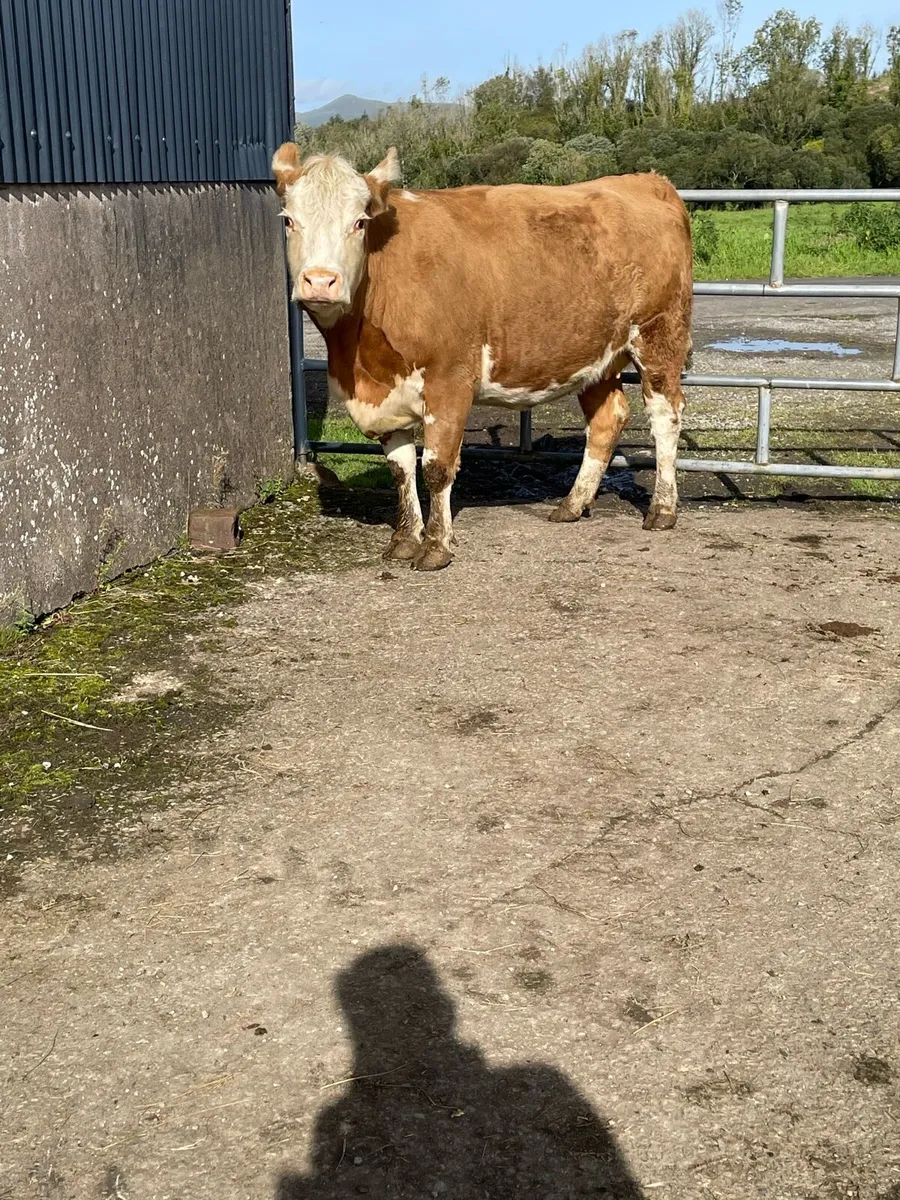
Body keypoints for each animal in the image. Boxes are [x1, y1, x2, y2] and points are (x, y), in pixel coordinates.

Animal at [272, 143, 693, 571]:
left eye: (359, 222)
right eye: (288, 220)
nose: (320, 281)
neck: (359, 359)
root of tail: (648, 181)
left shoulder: (450, 381)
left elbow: (436, 468)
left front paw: (436, 546)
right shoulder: (384, 391)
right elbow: (401, 469)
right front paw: (405, 538)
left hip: (659, 334)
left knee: (666, 416)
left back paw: (662, 509)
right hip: (596, 353)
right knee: (608, 418)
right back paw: (572, 504)